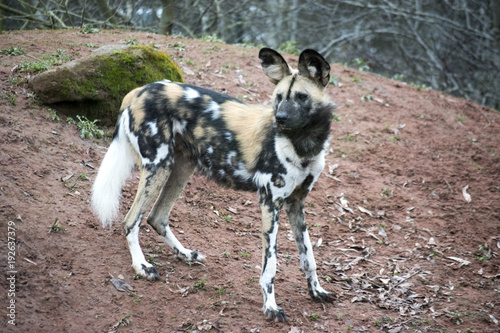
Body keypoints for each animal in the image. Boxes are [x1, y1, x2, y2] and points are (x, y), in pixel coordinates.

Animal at [92, 48, 338, 320]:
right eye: (279, 97)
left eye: (302, 97)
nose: (280, 117)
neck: (304, 144)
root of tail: (138, 90)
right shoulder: (270, 202)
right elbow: (270, 266)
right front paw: (271, 306)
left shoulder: (296, 204)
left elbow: (308, 257)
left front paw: (316, 291)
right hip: (158, 166)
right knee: (131, 220)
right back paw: (142, 266)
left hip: (181, 167)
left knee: (156, 217)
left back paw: (185, 254)